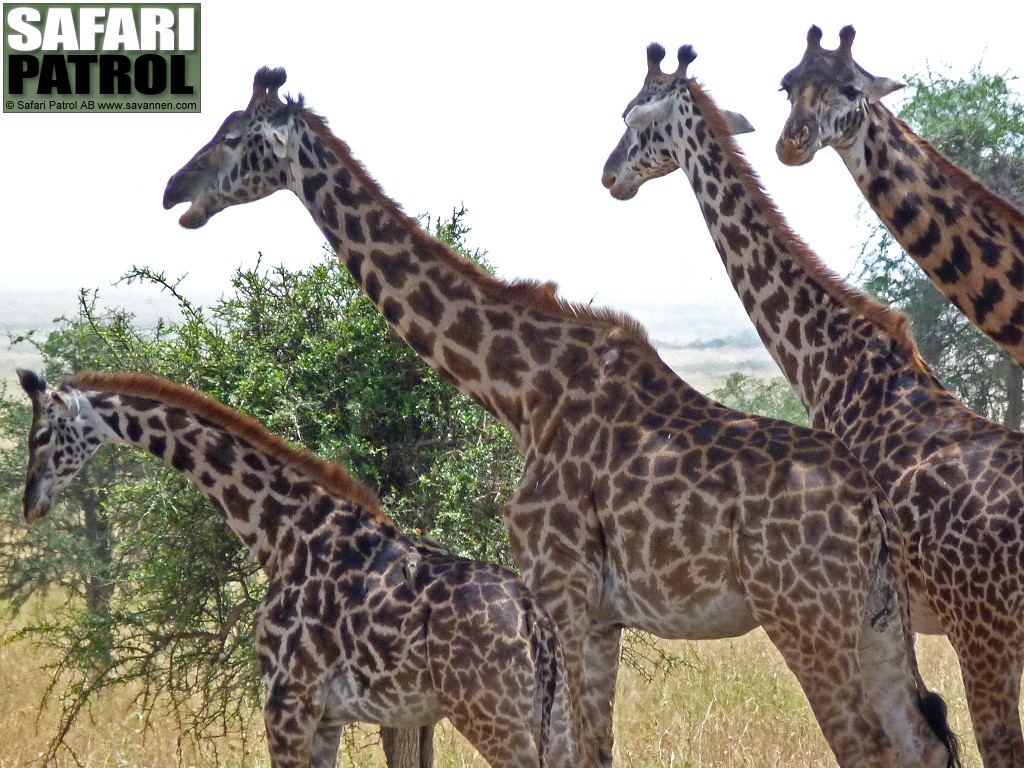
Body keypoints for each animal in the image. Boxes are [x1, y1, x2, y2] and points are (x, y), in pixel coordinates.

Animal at [16, 368, 577, 768]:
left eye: (41, 435)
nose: (30, 505)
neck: (284, 536)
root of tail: (535, 618)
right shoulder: (326, 717)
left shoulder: (287, 700)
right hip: (555, 716)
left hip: (493, 716)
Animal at [161, 64, 966, 768]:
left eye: (233, 136)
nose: (174, 189)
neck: (521, 390)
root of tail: (869, 507)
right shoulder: (602, 614)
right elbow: (591, 749)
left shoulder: (561, 588)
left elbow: (577, 751)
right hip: (876, 621)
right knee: (922, 744)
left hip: (804, 619)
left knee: (866, 747)